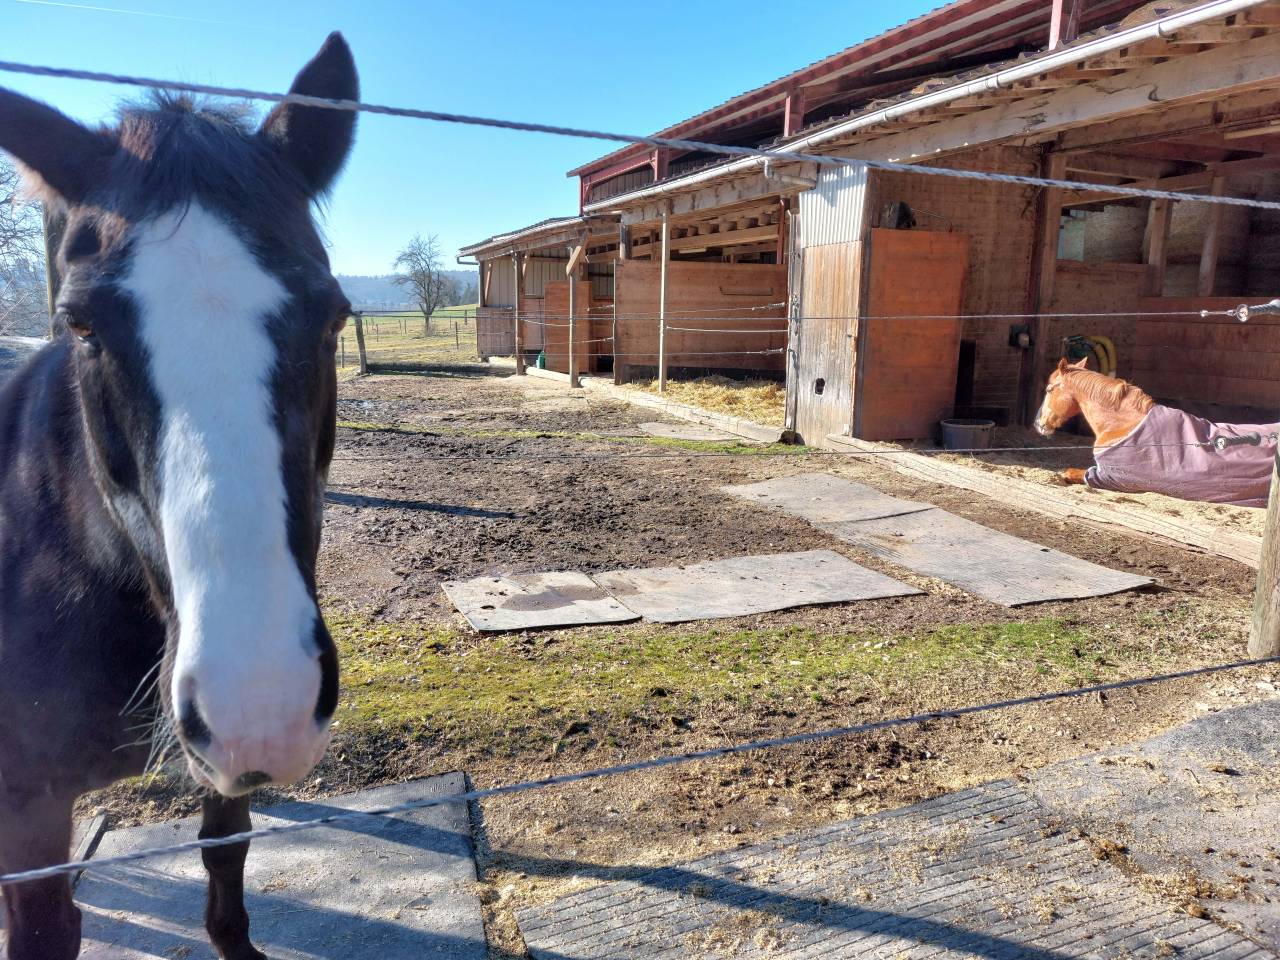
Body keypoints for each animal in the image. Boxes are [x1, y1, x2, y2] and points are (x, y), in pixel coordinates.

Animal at [0, 34, 357, 959]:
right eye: (82, 325)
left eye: (334, 317)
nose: (260, 699)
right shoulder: (26, 807)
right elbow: (46, 927)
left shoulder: (223, 762)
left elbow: (225, 852)